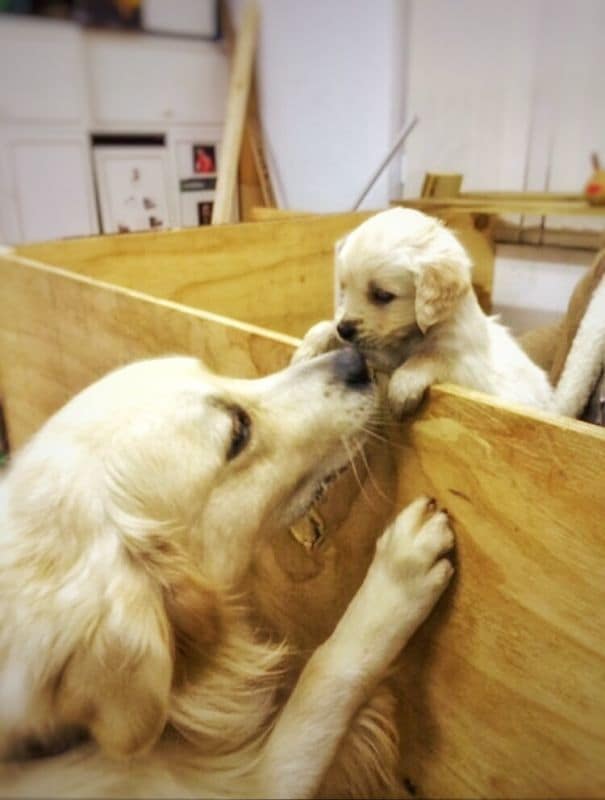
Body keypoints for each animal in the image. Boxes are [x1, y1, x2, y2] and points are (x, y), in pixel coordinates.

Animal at [0, 354, 452, 796]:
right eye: (238, 431)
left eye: (216, 373)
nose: (356, 359)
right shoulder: (258, 782)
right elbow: (324, 673)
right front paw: (399, 574)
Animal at [292, 206, 552, 416]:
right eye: (344, 288)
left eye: (382, 295)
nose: (344, 330)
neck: (409, 336)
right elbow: (324, 327)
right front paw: (305, 351)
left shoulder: (465, 365)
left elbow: (431, 356)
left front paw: (402, 386)